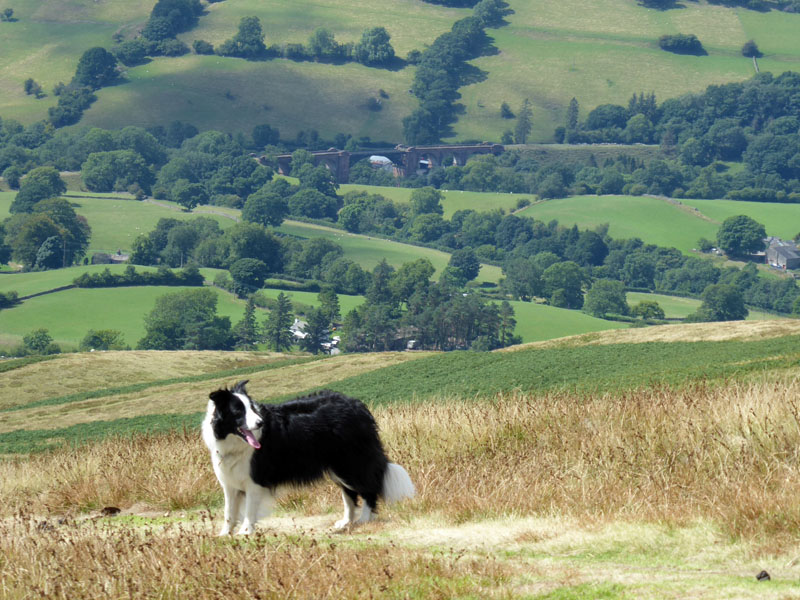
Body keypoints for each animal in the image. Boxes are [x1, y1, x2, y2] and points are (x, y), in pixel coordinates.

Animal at [203, 380, 416, 536]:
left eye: (252, 410)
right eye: (238, 411)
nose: (260, 422)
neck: (232, 440)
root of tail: (358, 406)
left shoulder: (255, 480)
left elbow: (248, 510)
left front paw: (245, 532)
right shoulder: (229, 483)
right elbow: (229, 512)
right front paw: (224, 535)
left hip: (350, 463)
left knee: (367, 489)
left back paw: (364, 519)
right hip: (337, 467)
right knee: (349, 495)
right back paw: (345, 522)